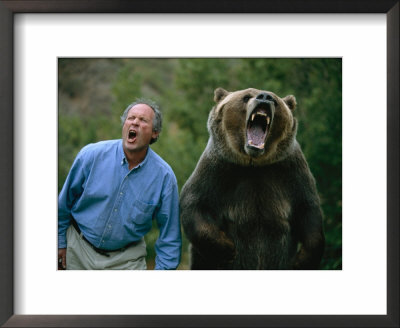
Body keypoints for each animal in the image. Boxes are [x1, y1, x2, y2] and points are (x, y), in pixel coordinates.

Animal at [181, 87, 324, 270]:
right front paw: (227, 248)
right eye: (246, 96)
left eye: (275, 100)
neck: (253, 163)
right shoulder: (218, 169)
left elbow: (308, 209)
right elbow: (196, 204)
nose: (265, 96)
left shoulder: (290, 172)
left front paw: (301, 261)